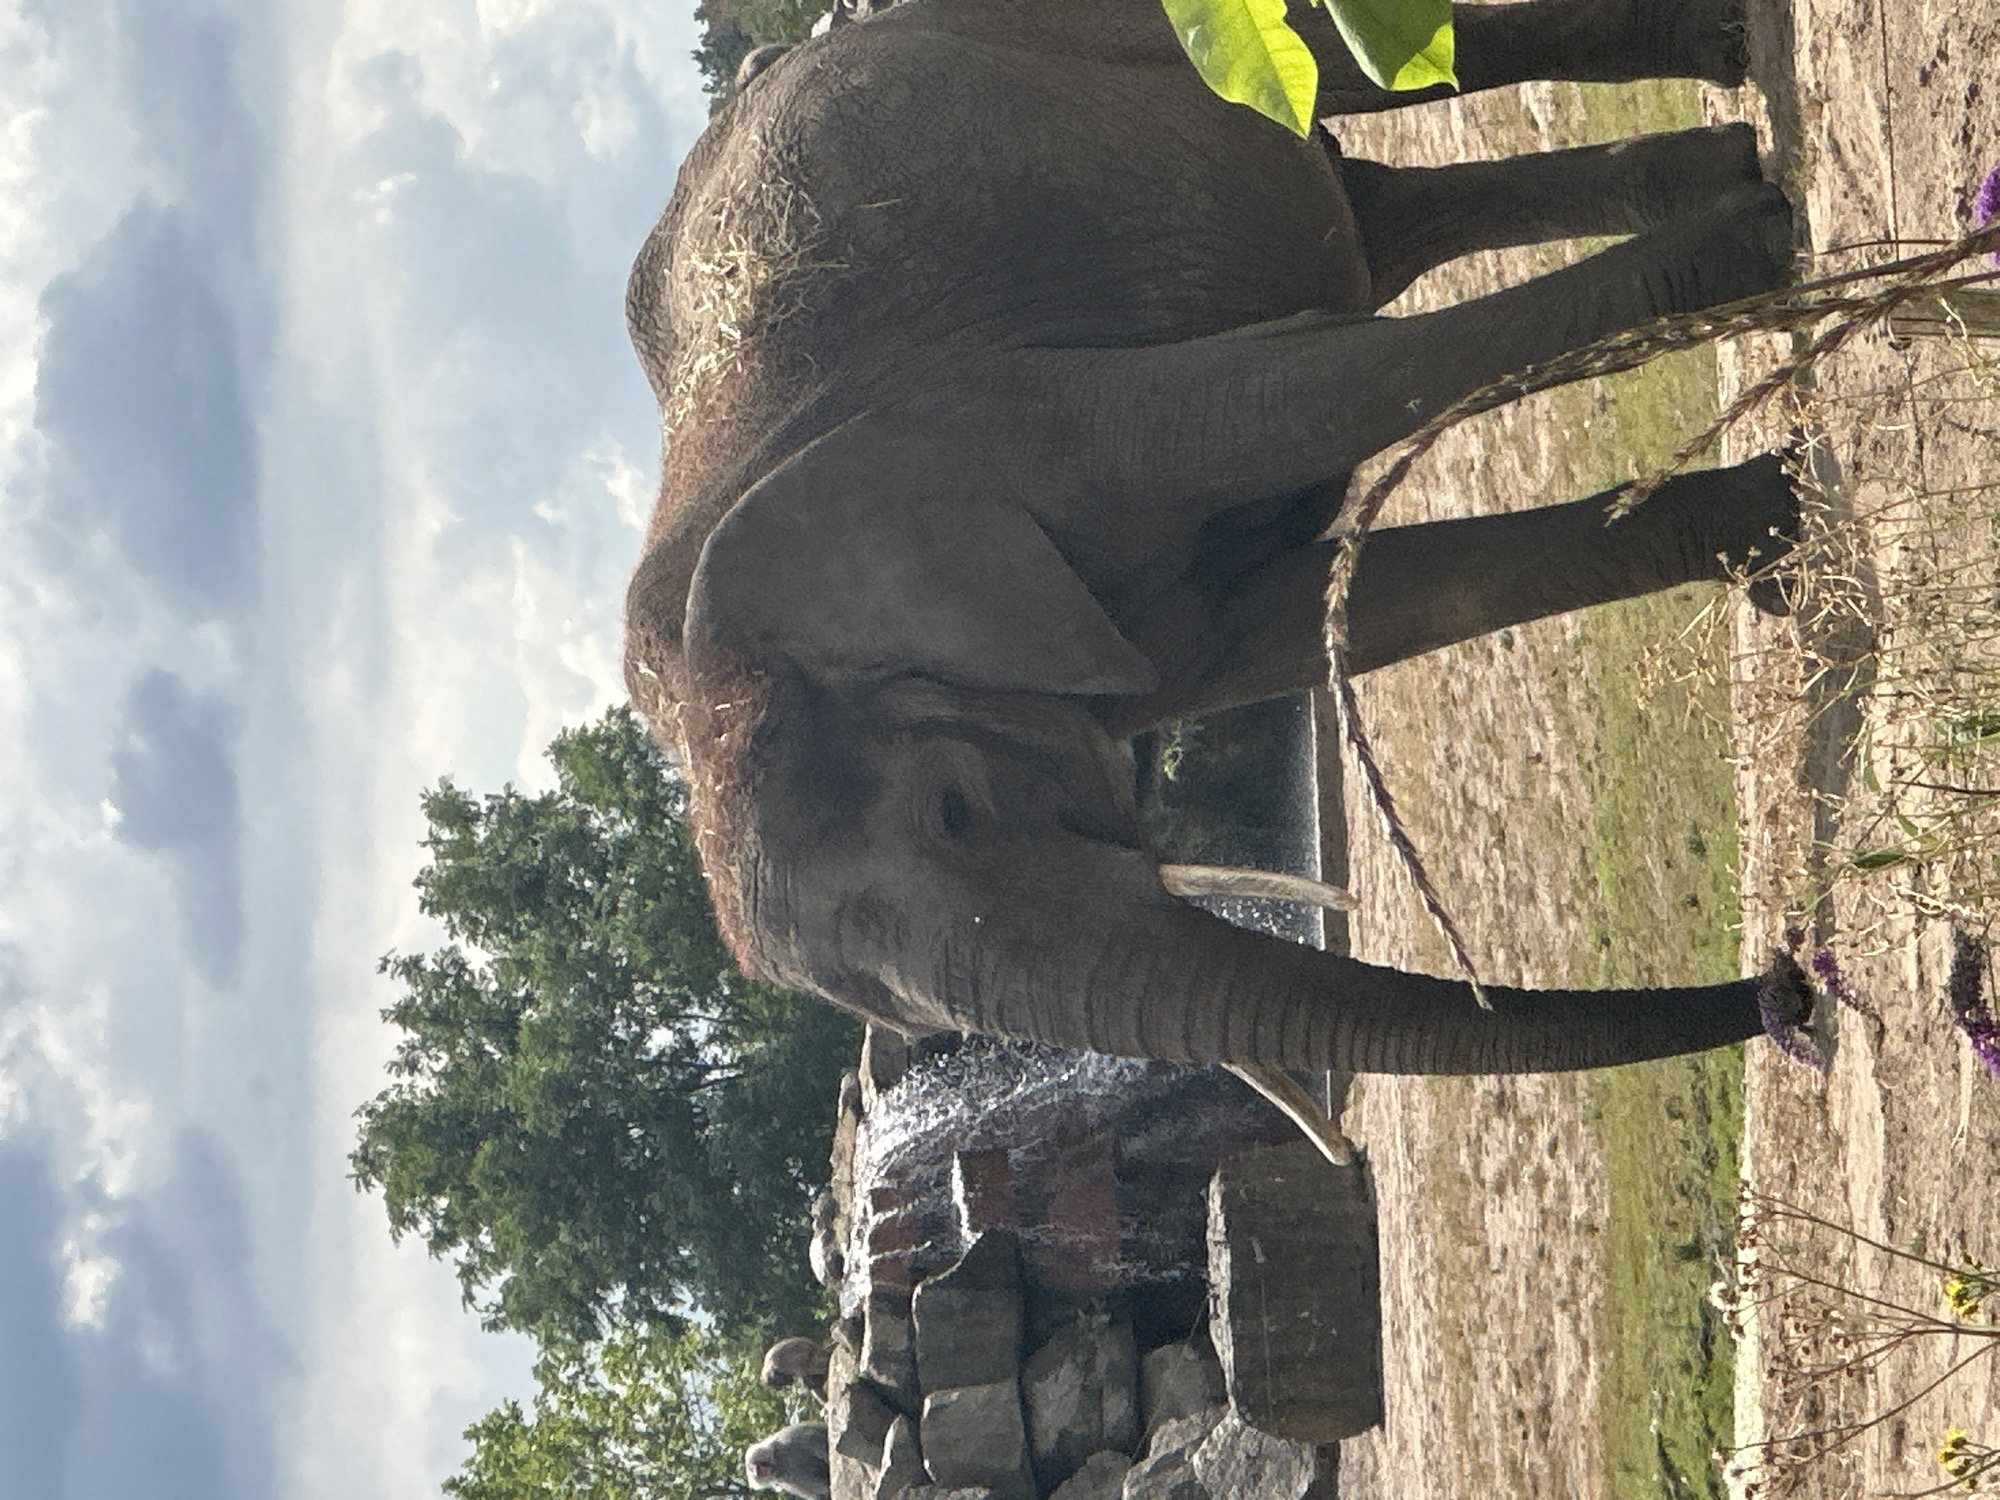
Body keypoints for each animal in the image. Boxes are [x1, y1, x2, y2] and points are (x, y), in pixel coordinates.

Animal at [622, 0, 1814, 1075]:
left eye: (951, 810)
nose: (1785, 987)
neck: (708, 684)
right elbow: (1320, 617)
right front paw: (1779, 535)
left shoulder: (991, 419)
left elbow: (1313, 391)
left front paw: (1759, 249)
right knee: (1383, 223)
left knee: (1354, 79)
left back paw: (1735, 105)